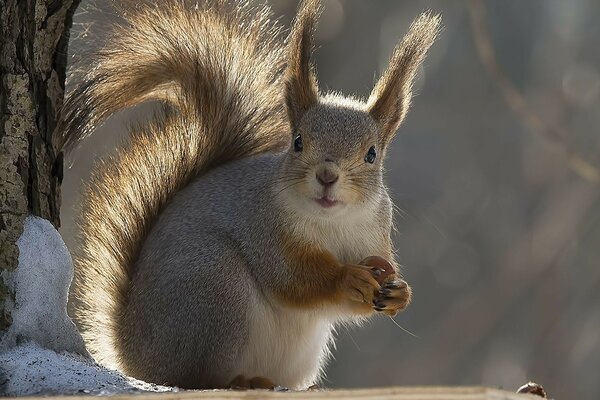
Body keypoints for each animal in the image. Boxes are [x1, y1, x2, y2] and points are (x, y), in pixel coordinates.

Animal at [58, 0, 438, 390]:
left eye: (372, 154)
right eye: (298, 142)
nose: (327, 176)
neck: (332, 222)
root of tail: (132, 352)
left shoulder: (373, 236)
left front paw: (399, 293)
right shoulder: (264, 228)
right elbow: (292, 279)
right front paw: (345, 278)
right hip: (214, 285)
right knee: (194, 375)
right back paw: (240, 381)